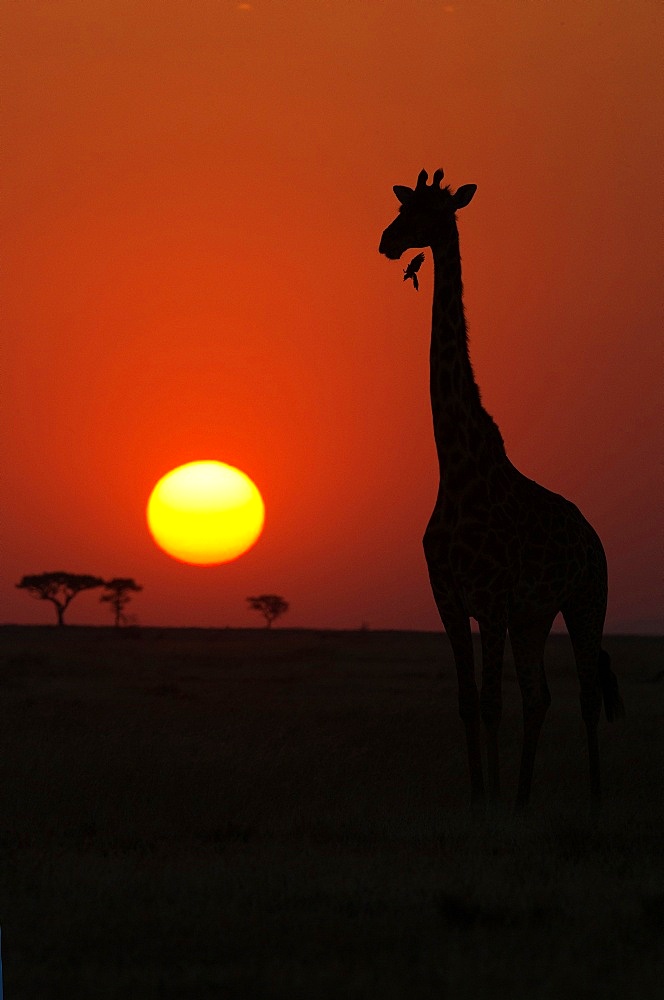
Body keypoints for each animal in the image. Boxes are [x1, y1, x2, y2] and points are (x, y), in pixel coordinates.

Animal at [378, 170, 624, 812]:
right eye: (403, 206)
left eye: (430, 211)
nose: (387, 242)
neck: (457, 468)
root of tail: (594, 538)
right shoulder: (450, 599)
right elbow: (469, 702)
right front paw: (479, 798)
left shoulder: (489, 601)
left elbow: (491, 704)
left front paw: (488, 804)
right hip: (533, 617)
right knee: (540, 697)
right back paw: (522, 798)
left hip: (586, 599)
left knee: (586, 695)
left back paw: (593, 800)